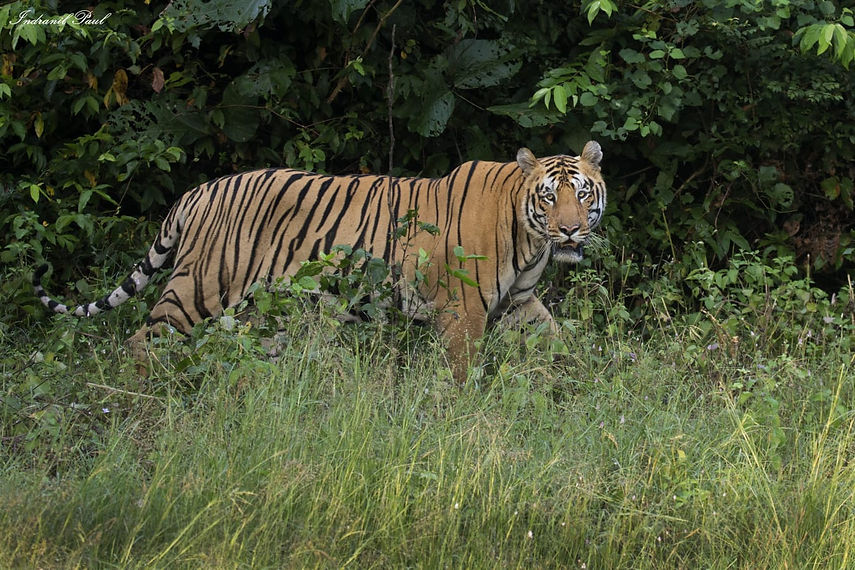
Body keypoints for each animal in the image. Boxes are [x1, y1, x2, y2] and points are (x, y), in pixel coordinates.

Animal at [34, 141, 606, 382]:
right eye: (550, 197)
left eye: (581, 193)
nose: (570, 230)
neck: (530, 239)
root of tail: (196, 192)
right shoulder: (462, 311)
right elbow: (463, 370)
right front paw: (465, 409)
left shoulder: (520, 304)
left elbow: (561, 343)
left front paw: (587, 382)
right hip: (199, 287)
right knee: (141, 341)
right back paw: (141, 401)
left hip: (258, 309)